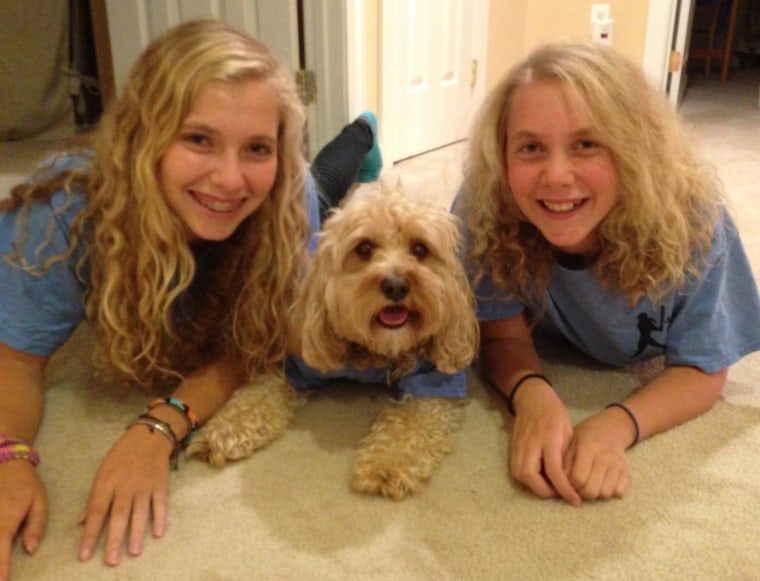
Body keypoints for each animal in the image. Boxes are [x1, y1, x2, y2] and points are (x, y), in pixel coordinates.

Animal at [188, 190, 478, 498]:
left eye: (420, 249)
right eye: (364, 248)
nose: (396, 285)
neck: (375, 350)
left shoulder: (433, 382)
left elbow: (411, 423)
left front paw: (387, 464)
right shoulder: (295, 363)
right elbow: (257, 397)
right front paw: (225, 430)